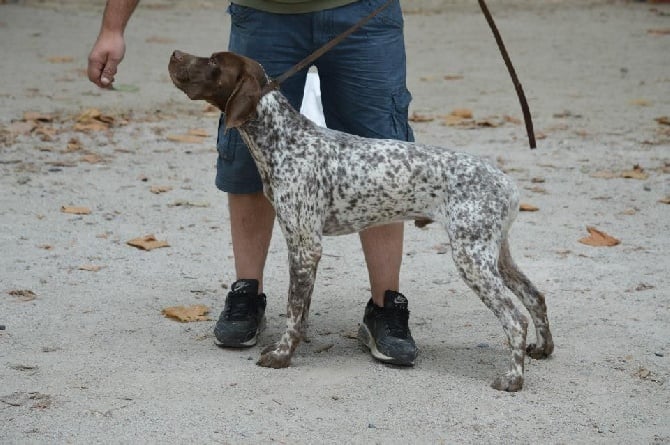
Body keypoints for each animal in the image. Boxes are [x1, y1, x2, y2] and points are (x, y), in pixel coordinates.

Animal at [169, 50, 556, 390]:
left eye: (214, 61)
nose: (174, 54)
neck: (284, 141)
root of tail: (507, 184)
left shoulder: (304, 245)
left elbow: (293, 309)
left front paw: (281, 355)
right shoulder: (306, 246)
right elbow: (301, 308)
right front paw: (295, 345)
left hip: (471, 257)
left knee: (515, 318)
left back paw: (513, 378)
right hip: (494, 253)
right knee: (534, 296)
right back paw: (543, 349)